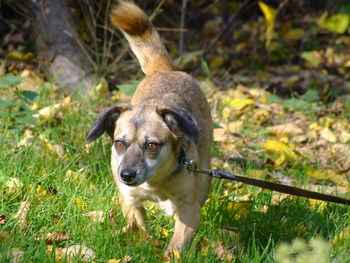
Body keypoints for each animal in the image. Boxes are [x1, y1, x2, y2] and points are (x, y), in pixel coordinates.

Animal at [87, 0, 213, 256]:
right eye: (119, 143)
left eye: (151, 145)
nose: (126, 174)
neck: (156, 183)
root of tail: (164, 70)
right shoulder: (130, 200)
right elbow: (140, 229)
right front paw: (144, 245)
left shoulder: (190, 208)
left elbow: (177, 244)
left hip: (205, 177)